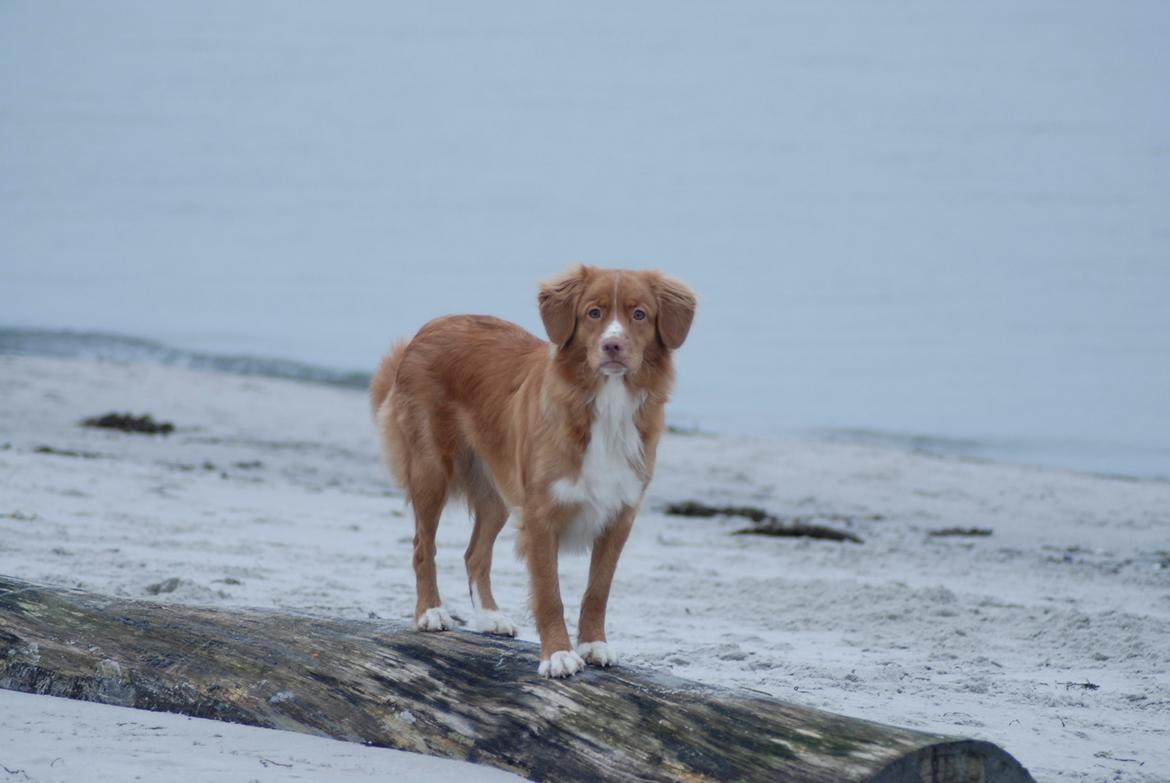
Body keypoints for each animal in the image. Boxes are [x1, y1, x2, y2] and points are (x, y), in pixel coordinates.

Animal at [369, 264, 692, 678]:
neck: (606, 405)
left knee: (475, 554)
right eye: (594, 312)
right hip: (431, 470)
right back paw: (430, 612)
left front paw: (594, 644)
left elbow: (598, 590)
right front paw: (558, 654)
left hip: (497, 494)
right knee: (422, 545)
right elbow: (549, 592)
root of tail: (428, 328)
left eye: (639, 315)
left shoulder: (620, 515)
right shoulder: (541, 515)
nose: (613, 346)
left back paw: (490, 617)